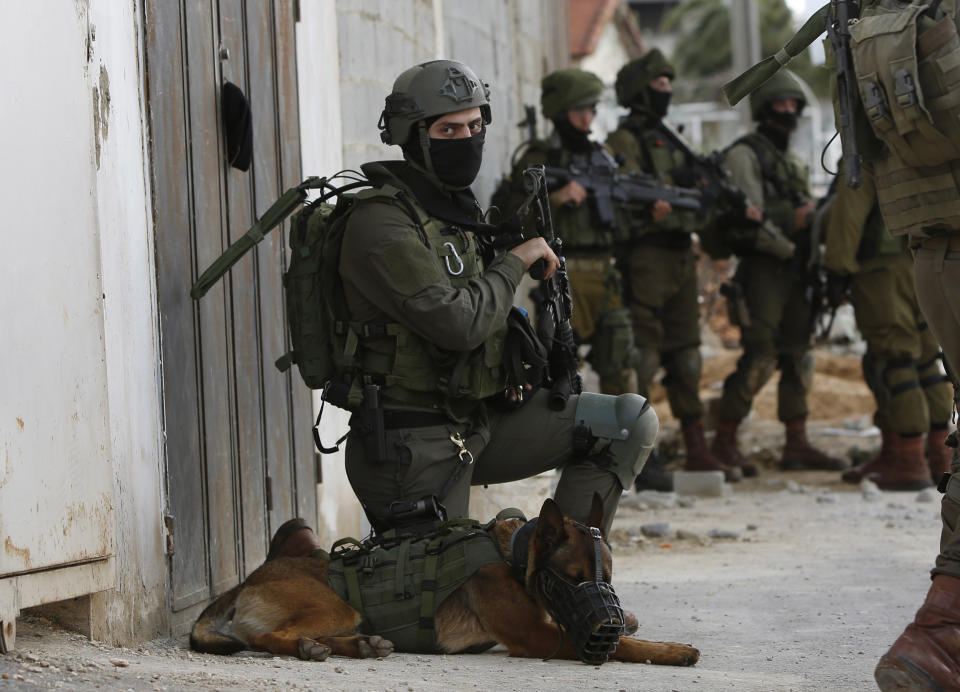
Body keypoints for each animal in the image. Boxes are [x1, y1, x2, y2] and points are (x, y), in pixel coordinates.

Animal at [189, 498, 696, 664]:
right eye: (572, 579)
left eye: (606, 578)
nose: (608, 620)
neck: (512, 558)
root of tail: (246, 580)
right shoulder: (540, 638)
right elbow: (626, 646)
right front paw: (671, 650)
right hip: (337, 605)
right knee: (265, 637)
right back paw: (307, 648)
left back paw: (361, 646)